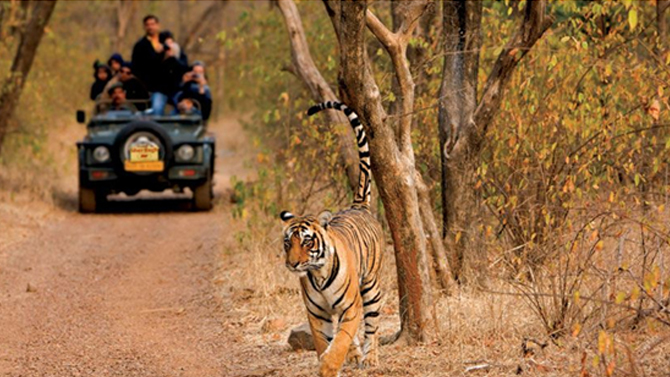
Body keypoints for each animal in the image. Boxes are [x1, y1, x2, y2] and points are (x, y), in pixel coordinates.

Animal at [280, 100, 384, 376]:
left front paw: (329, 365)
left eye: (307, 241)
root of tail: (358, 206)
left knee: (372, 326)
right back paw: (357, 355)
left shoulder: (351, 307)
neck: (318, 275)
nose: (293, 264)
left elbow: (341, 340)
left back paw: (371, 358)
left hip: (371, 286)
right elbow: (324, 342)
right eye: (288, 243)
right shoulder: (317, 315)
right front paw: (328, 360)